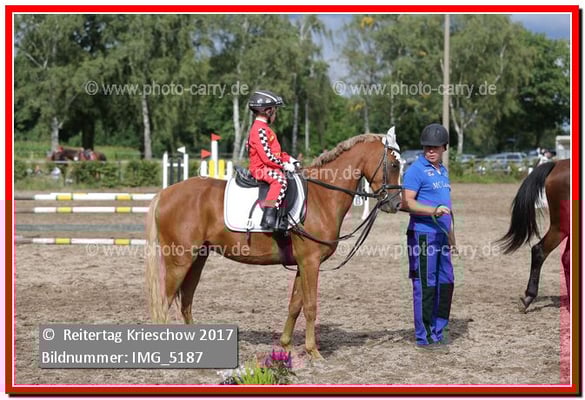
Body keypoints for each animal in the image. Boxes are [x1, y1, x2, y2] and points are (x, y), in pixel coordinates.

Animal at [145, 133, 402, 359]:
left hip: (197, 259)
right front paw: (314, 352)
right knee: (165, 301)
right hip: (179, 260)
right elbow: (310, 306)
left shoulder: (302, 264)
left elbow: (295, 305)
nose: (396, 204)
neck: (322, 196)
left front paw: (286, 345)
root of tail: (165, 193)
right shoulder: (310, 263)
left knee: (186, 301)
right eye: (393, 164)